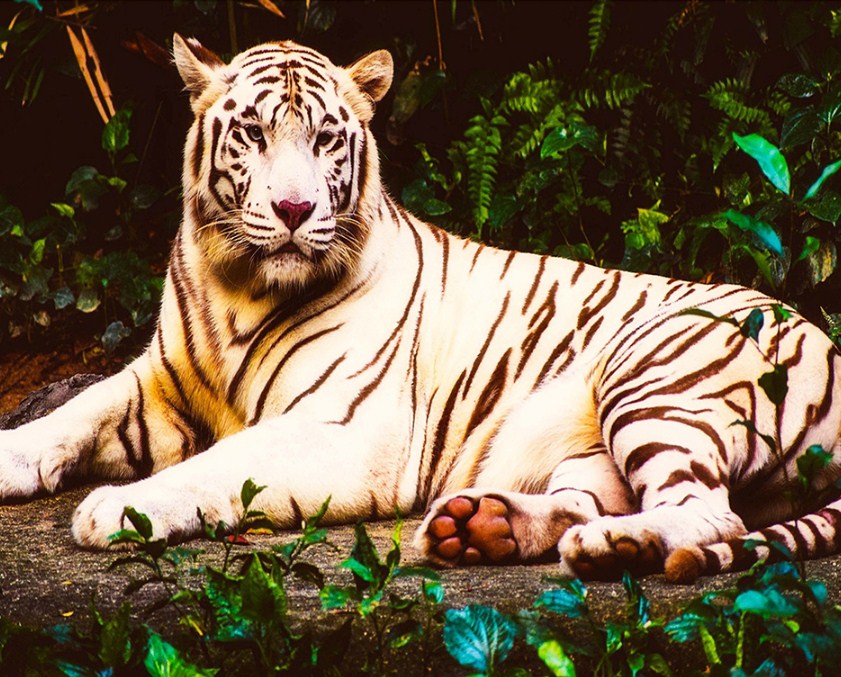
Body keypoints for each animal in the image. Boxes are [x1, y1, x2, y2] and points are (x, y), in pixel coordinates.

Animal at [1, 34, 840, 584]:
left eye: (325, 138)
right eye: (253, 132)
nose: (295, 209)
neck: (237, 284)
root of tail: (824, 339)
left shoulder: (342, 429)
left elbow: (218, 464)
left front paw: (119, 509)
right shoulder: (161, 380)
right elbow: (74, 410)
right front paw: (15, 455)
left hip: (654, 376)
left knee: (710, 513)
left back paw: (618, 548)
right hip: (591, 445)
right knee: (585, 501)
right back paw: (488, 529)